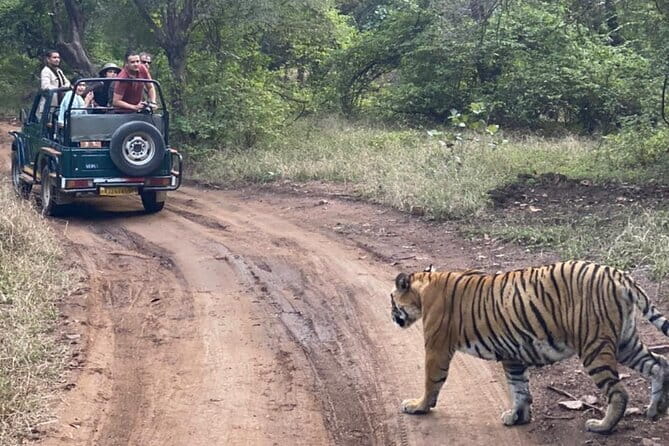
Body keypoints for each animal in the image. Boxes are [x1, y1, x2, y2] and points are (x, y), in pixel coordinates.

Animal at [389, 260, 669, 434]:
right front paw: (518, 417)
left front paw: (418, 406)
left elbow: (431, 381)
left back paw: (602, 427)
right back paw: (655, 409)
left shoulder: (436, 348)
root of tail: (618, 274)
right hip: (624, 342)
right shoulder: (512, 355)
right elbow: (519, 387)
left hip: (595, 347)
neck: (424, 284)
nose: (391, 316)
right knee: (659, 364)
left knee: (619, 391)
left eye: (392, 300)